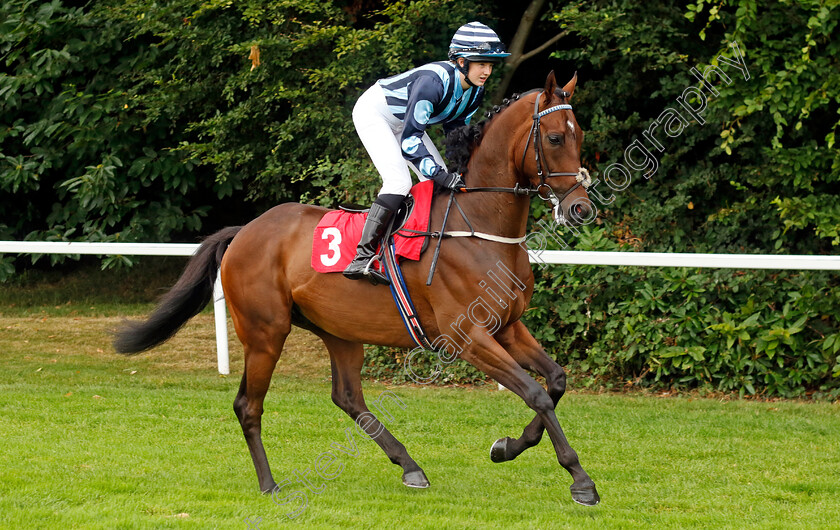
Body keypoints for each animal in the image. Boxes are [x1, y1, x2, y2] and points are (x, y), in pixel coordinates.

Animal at [115, 70, 600, 504]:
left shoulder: (507, 327)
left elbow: (555, 382)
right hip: (265, 334)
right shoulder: (467, 337)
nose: (580, 208)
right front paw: (580, 479)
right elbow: (536, 393)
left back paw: (410, 466)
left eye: (579, 135)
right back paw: (270, 485)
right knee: (248, 406)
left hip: (339, 331)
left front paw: (507, 448)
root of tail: (244, 231)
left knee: (347, 397)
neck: (478, 225)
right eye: (554, 139)